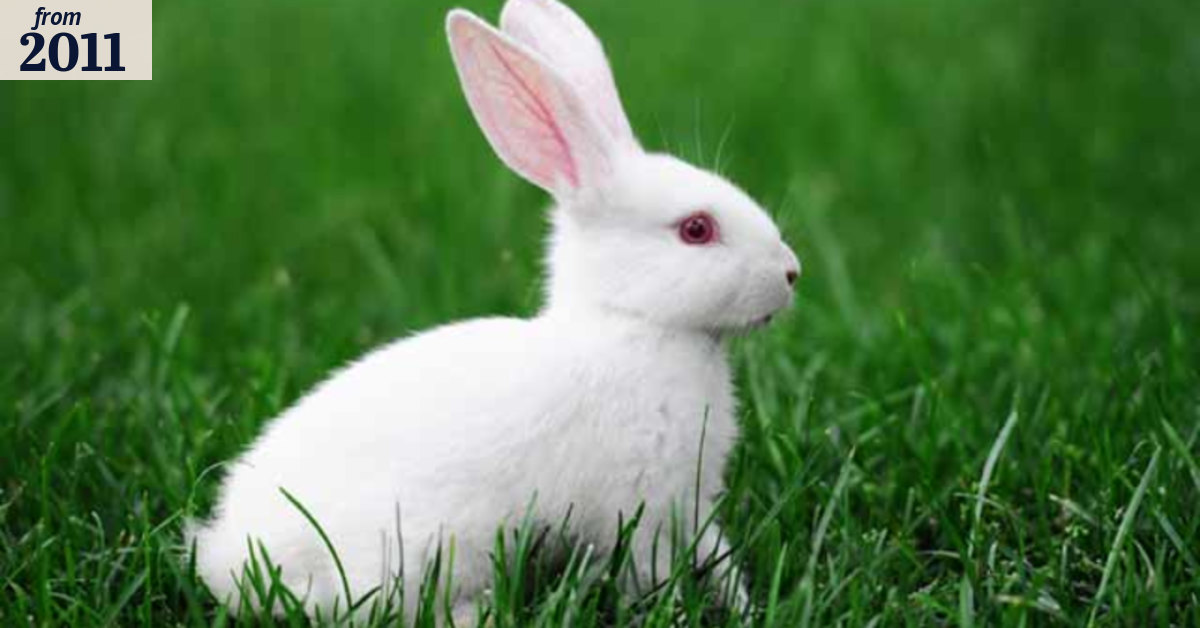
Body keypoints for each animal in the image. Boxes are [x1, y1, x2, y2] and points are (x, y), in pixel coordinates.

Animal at [187, 0, 801, 622]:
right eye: (696, 229)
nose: (791, 273)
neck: (627, 321)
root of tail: (224, 556)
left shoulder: (690, 506)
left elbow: (718, 556)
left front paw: (746, 608)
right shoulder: (642, 506)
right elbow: (654, 568)